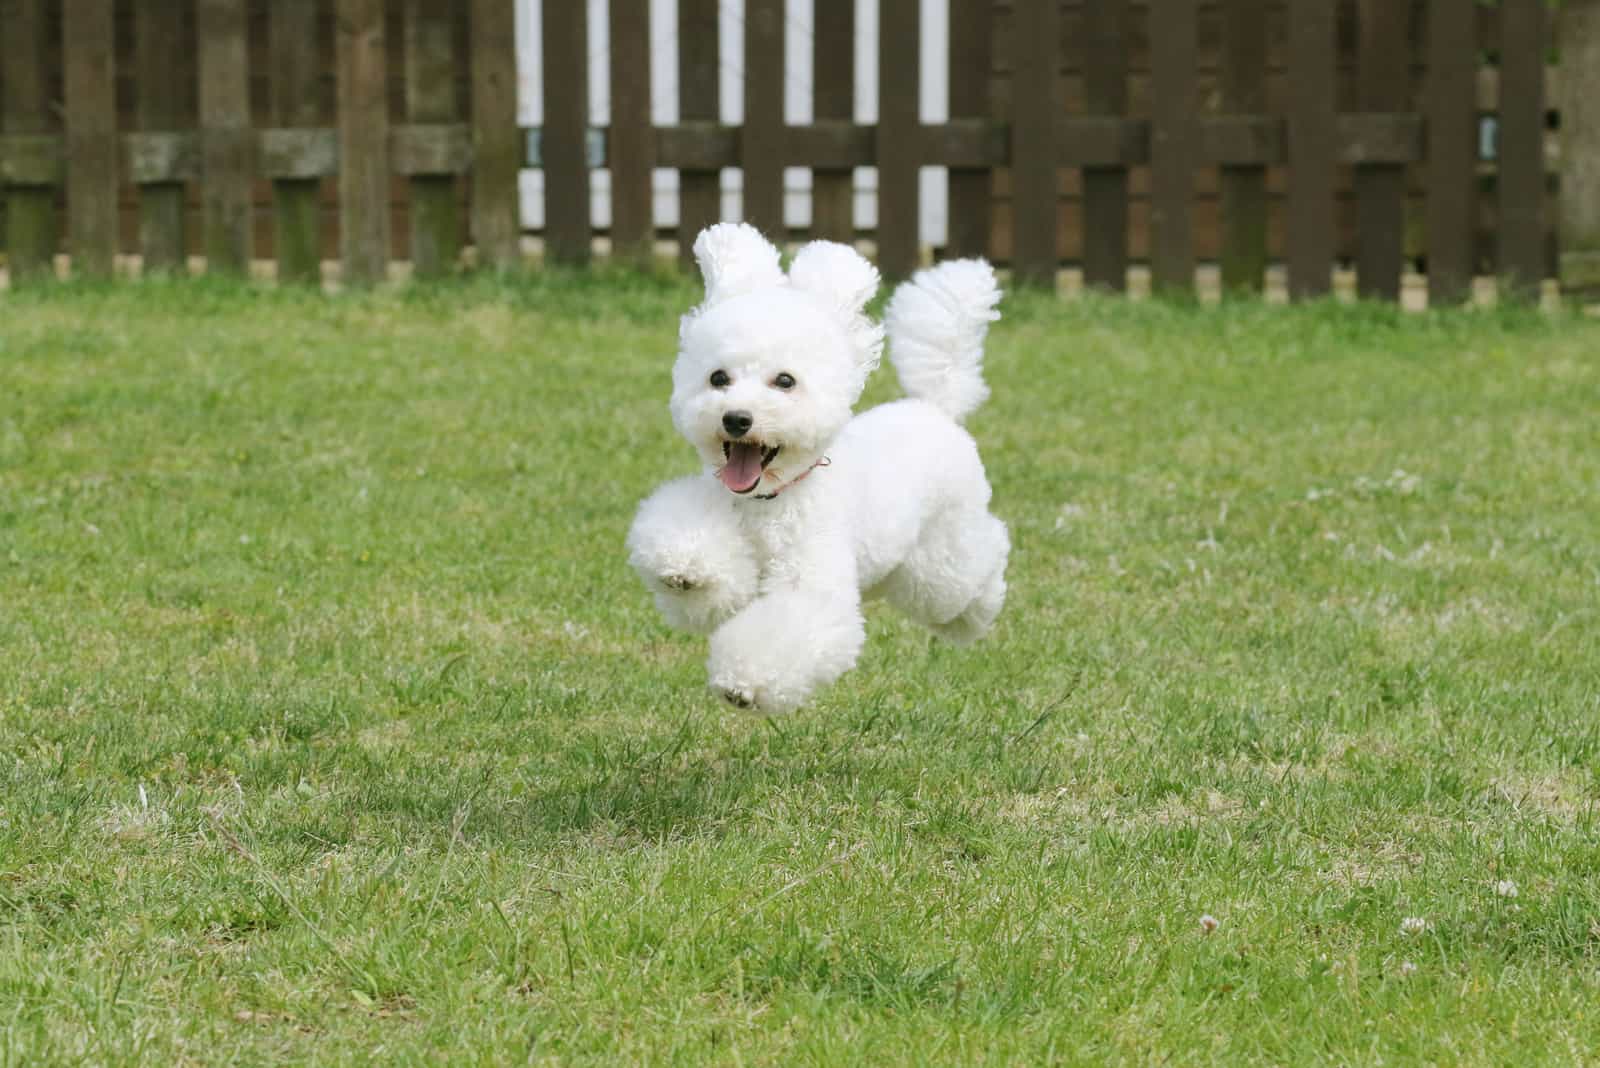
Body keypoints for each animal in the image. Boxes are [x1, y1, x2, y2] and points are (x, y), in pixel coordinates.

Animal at [627, 220, 1011, 713]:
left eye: (785, 381)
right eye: (718, 378)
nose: (736, 419)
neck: (768, 501)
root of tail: (935, 406)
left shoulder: (810, 577)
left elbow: (790, 625)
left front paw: (743, 684)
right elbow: (707, 579)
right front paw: (687, 570)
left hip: (942, 558)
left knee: (977, 565)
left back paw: (976, 611)